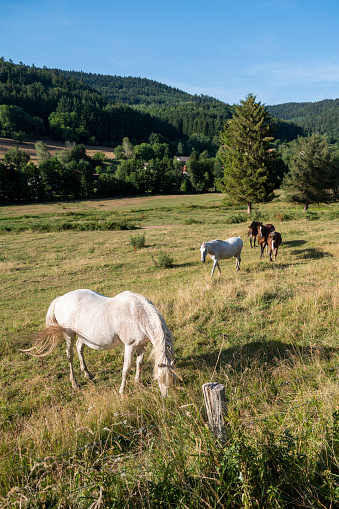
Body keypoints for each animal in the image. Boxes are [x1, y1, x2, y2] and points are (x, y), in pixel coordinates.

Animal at [21, 288, 175, 394]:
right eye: (159, 378)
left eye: (171, 379)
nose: (166, 397)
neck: (139, 315)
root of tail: (60, 299)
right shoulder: (129, 346)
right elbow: (126, 369)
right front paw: (121, 392)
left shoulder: (142, 345)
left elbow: (140, 364)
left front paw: (138, 383)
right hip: (69, 334)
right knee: (70, 355)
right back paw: (74, 383)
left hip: (82, 335)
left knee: (79, 348)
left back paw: (87, 374)